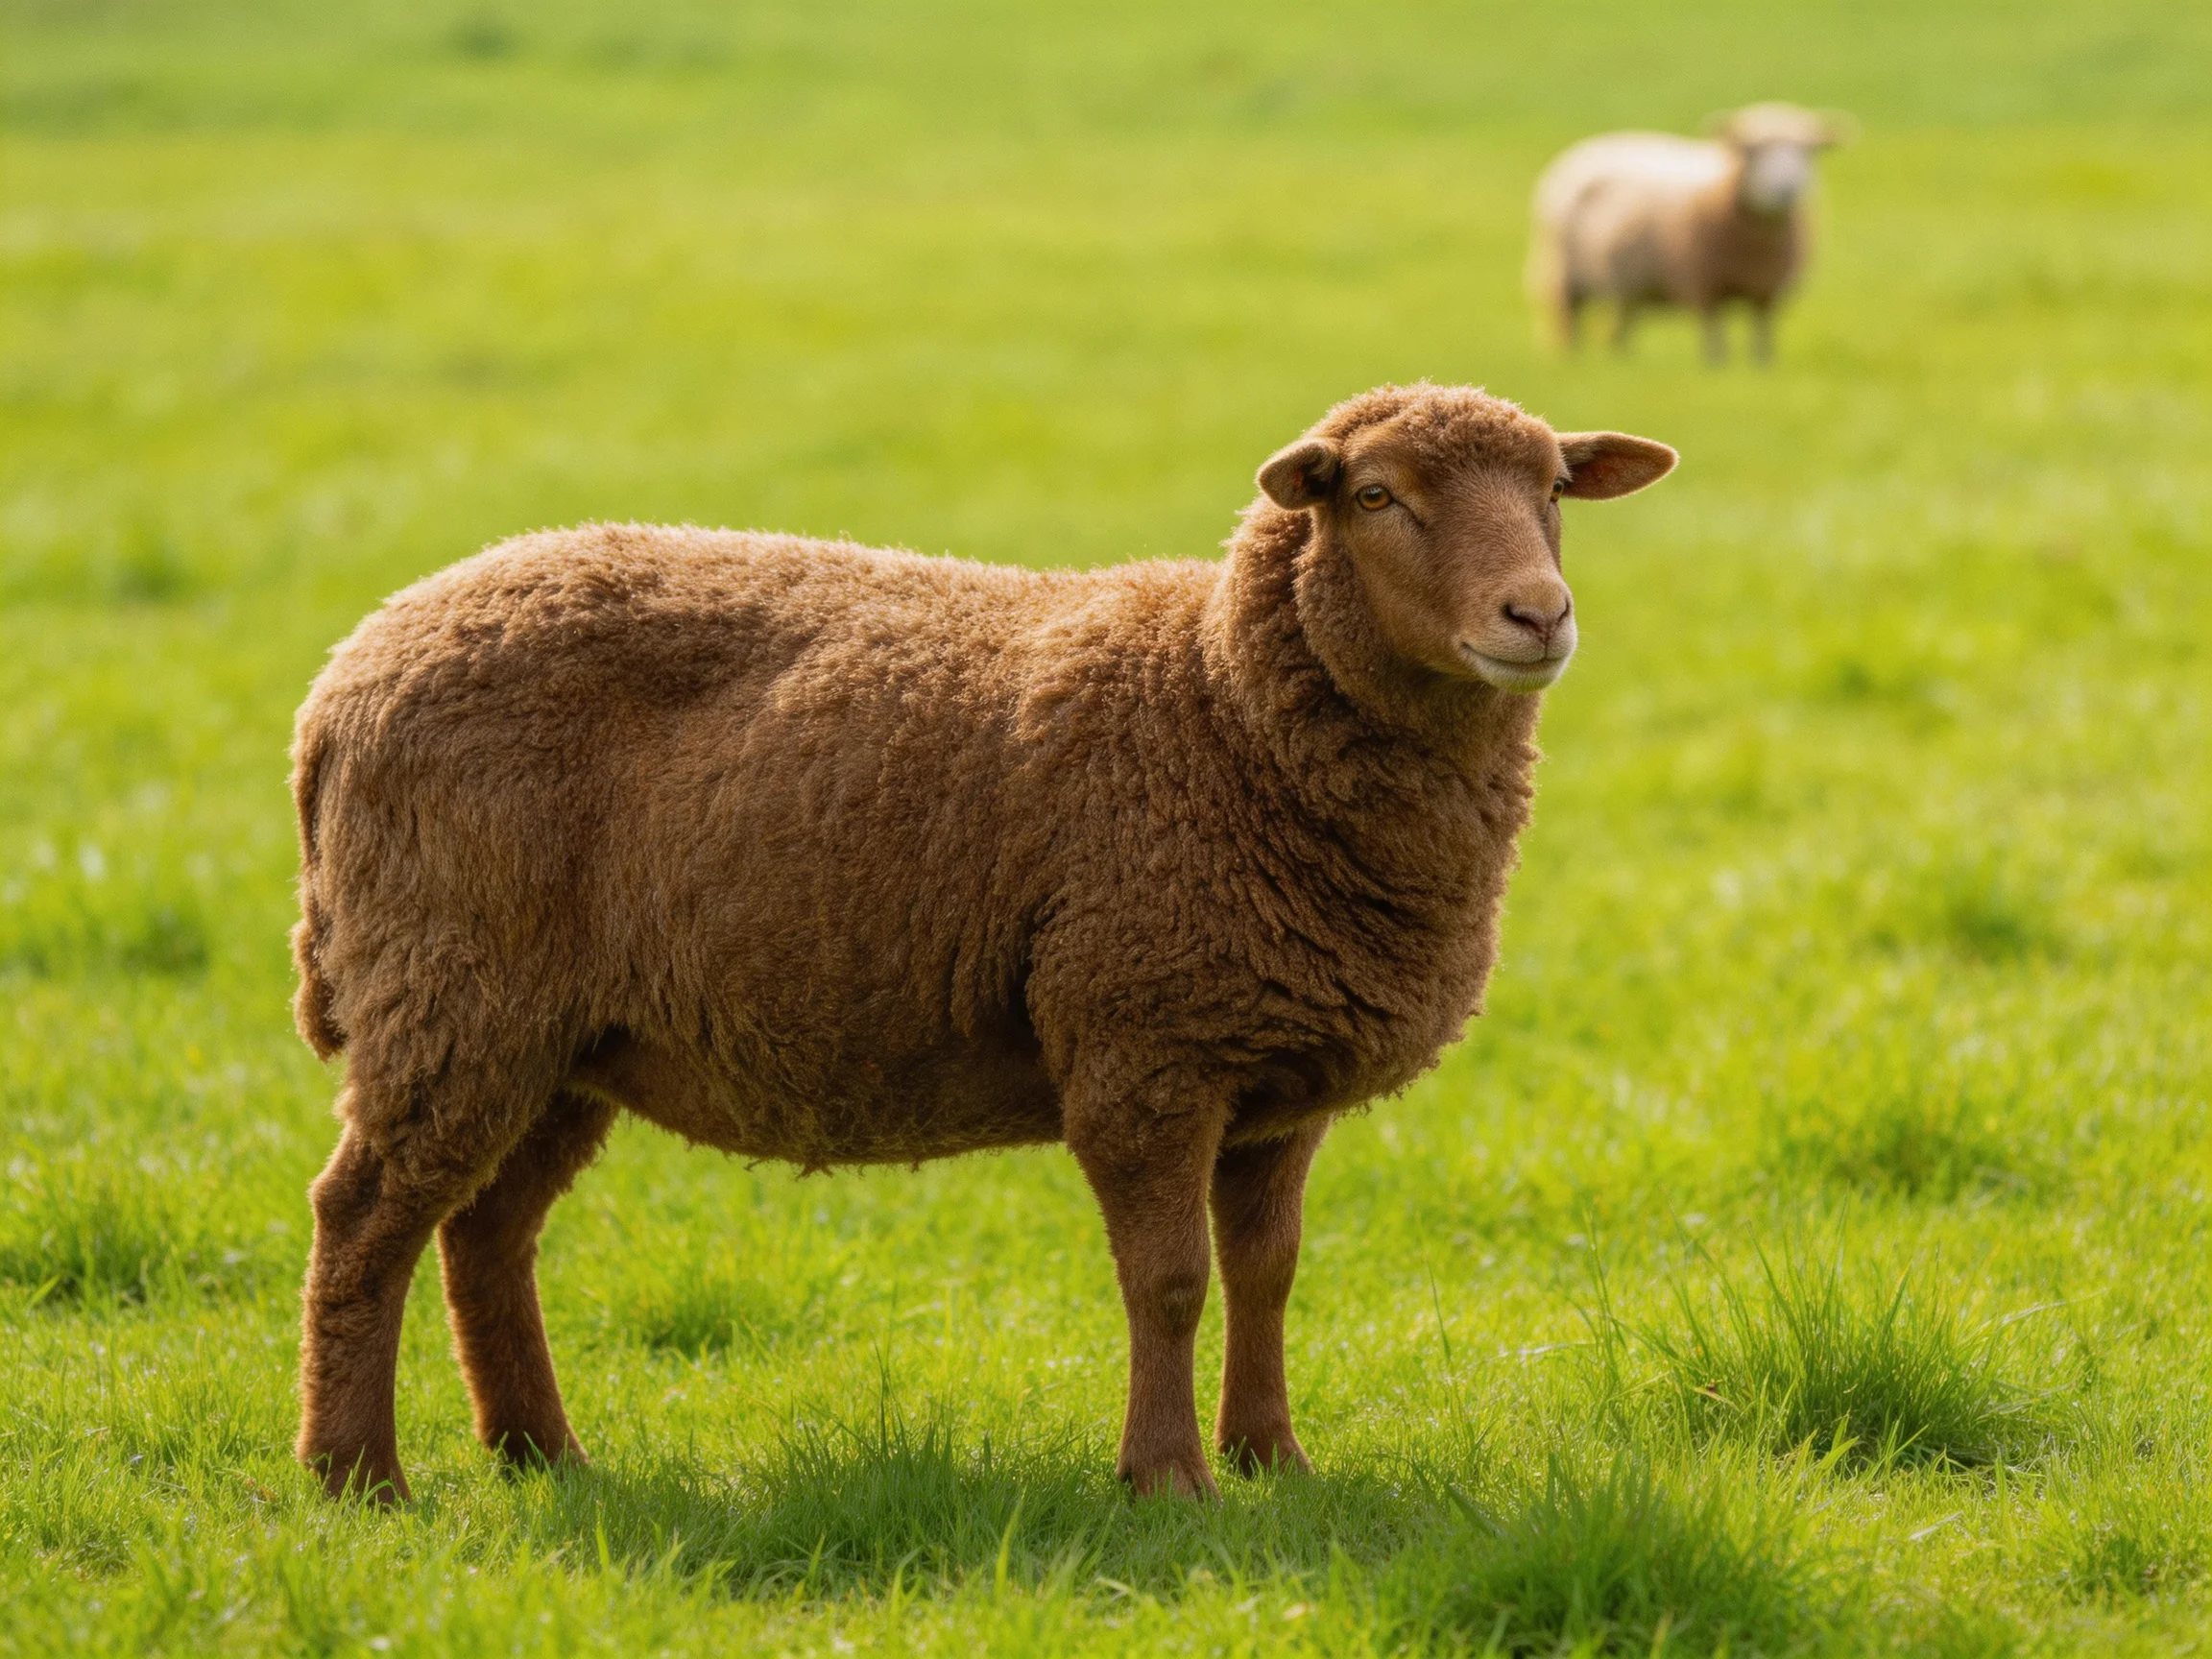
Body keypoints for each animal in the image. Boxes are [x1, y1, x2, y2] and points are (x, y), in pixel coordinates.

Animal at [287, 382, 1676, 1503]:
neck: (1218, 704)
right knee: (363, 1218)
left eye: (1556, 489)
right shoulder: (1141, 1048)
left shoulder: (1278, 1074)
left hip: (563, 1035)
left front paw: (1273, 1459)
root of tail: (345, 677)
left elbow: (1268, 1272)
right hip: (454, 984)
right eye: (1378, 495)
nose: (1537, 616)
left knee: (483, 1233)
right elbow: (1171, 1281)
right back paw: (358, 1477)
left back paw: (543, 1457)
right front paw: (1167, 1481)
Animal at [1527, 102, 1853, 362]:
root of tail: (1590, 148)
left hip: (1626, 286)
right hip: (1564, 276)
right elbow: (1715, 340)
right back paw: (1576, 359)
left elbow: (1762, 339)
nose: (1787, 189)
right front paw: (1716, 369)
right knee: (1572, 324)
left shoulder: (1767, 292)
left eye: (1810, 151)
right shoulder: (1703, 285)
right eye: (1752, 150)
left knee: (1620, 328)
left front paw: (1762, 368)